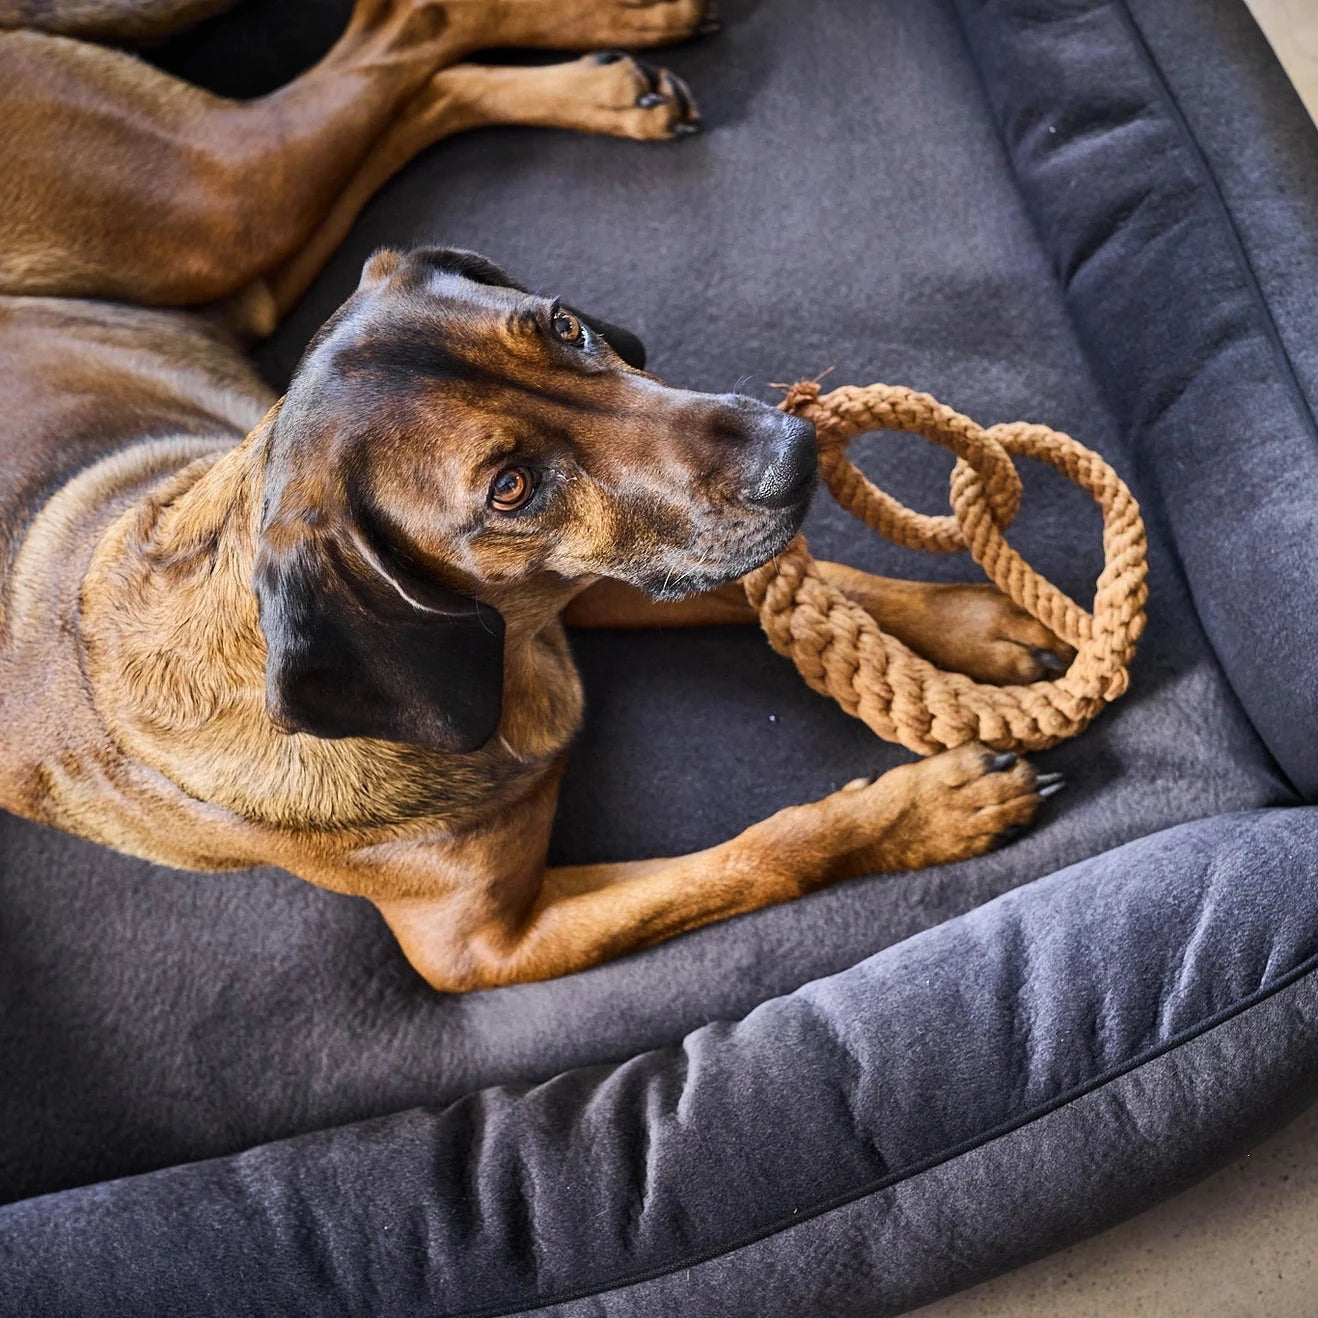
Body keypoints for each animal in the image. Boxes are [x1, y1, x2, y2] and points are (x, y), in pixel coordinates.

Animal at [0, 0, 1070, 991]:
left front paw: (979, 624)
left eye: (565, 327)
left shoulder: (584, 584)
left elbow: (819, 585)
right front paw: (929, 809)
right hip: (213, 210)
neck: (506, 660)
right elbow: (753, 856)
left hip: (225, 231)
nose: (792, 448)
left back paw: (611, 78)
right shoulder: (489, 947)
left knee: (405, 44)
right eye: (509, 489)